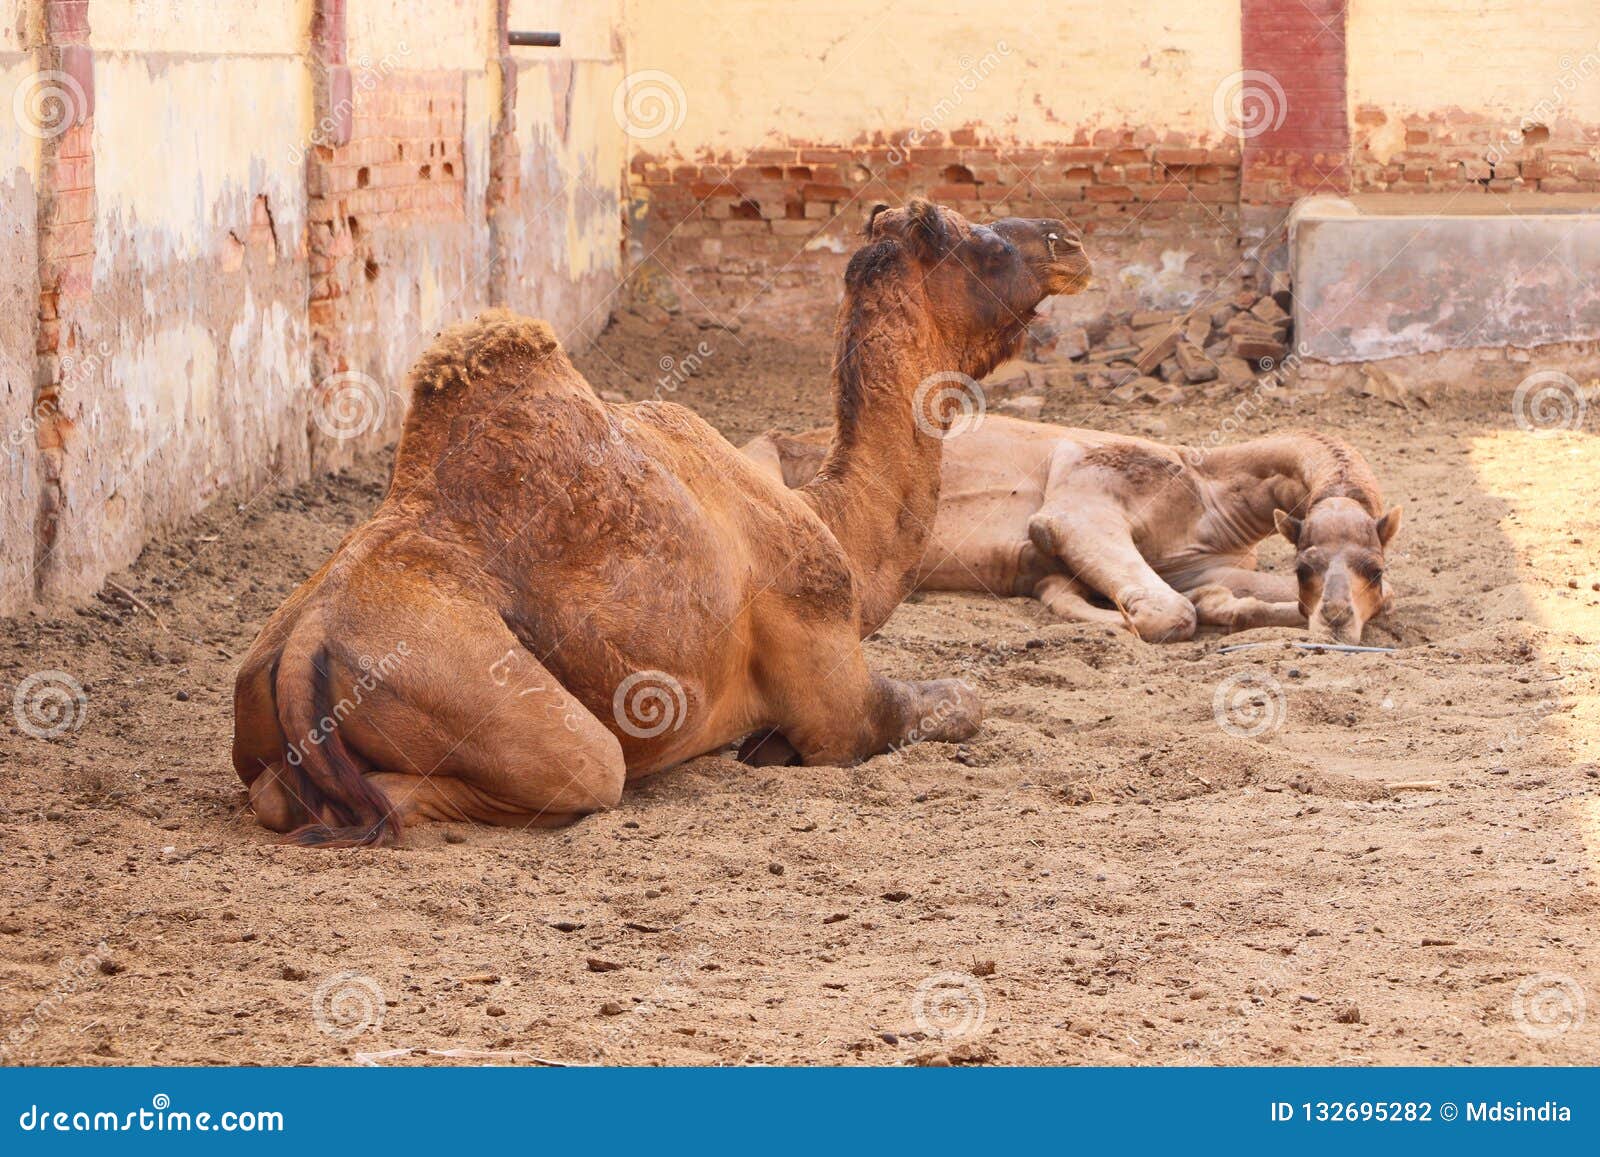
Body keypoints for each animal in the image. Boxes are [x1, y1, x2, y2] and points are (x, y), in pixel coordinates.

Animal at [232, 204, 1094, 844]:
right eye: (985, 242)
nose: (1070, 242)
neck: (833, 526)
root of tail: (304, 640)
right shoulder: (834, 690)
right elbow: (958, 701)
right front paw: (769, 745)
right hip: (488, 693)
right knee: (578, 769)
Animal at [745, 422, 1401, 646]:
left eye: (1375, 569)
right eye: (1304, 565)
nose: (1336, 622)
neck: (1205, 492)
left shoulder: (1201, 560)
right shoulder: (1082, 504)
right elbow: (1170, 613)